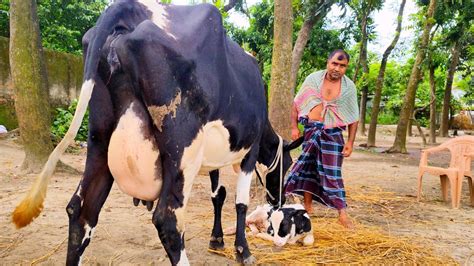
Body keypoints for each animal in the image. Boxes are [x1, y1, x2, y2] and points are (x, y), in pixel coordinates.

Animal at [12, 1, 304, 264]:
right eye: (287, 164)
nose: (279, 200)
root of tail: (128, 7)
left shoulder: (214, 156)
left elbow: (217, 196)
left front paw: (216, 239)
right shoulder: (249, 151)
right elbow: (239, 202)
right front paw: (243, 251)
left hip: (99, 139)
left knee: (81, 211)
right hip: (181, 147)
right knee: (168, 220)